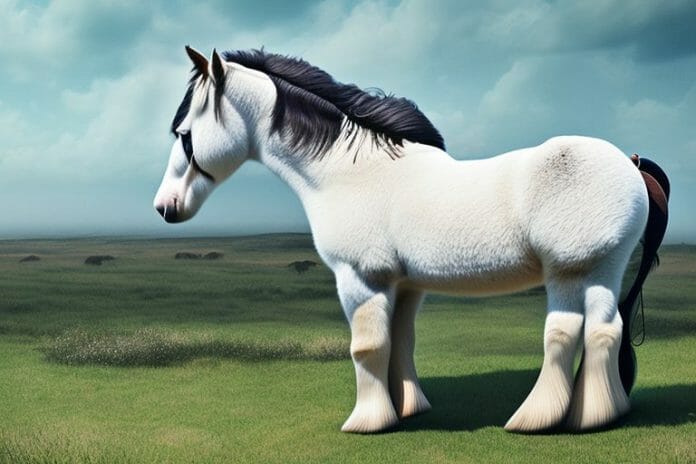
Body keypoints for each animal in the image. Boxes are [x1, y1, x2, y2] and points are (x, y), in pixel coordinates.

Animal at [153, 47, 669, 434]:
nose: (165, 207)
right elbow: (400, 341)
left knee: (563, 333)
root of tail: (630, 164)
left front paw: (367, 421)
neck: (350, 174)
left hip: (571, 270)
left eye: (184, 133)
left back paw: (536, 419)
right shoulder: (404, 285)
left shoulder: (360, 280)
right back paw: (595, 416)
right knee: (604, 331)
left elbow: (367, 347)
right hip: (601, 271)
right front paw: (407, 408)